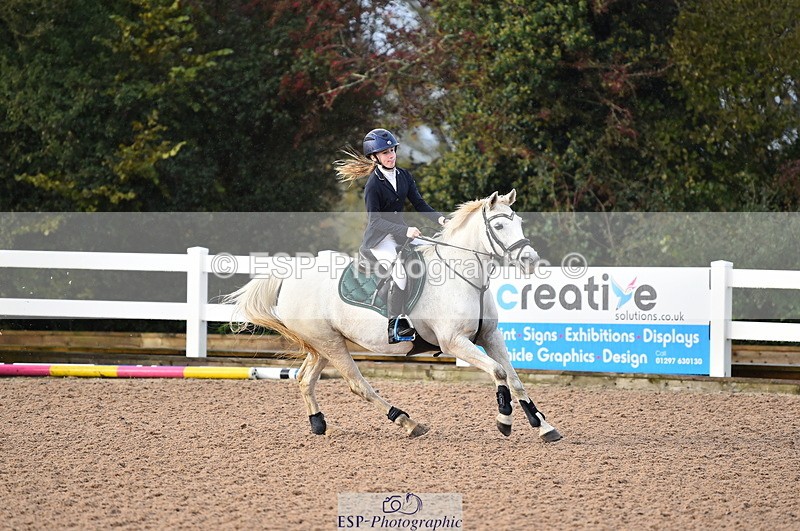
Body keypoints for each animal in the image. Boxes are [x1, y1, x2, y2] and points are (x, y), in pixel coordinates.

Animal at [226, 190, 562, 442]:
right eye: (500, 226)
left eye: (519, 222)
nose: (531, 261)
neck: (464, 275)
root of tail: (290, 276)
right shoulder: (454, 342)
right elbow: (499, 372)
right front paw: (504, 421)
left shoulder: (490, 336)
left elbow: (515, 378)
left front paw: (544, 426)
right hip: (331, 345)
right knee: (357, 385)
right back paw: (407, 422)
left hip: (324, 344)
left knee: (304, 378)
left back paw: (318, 423)